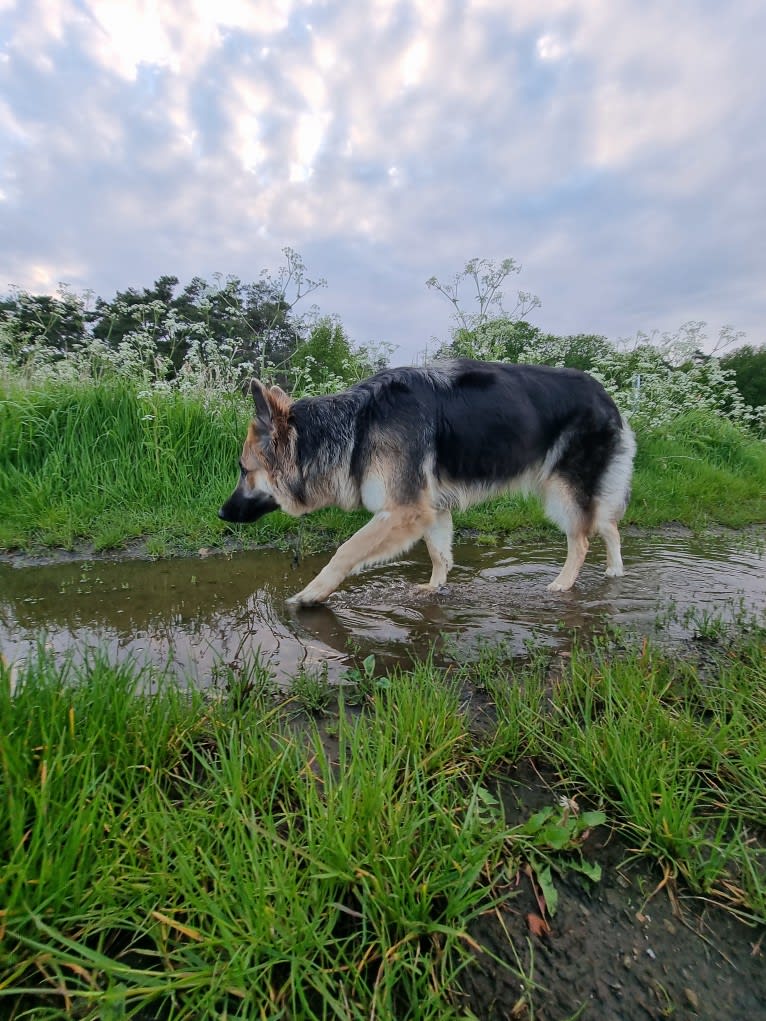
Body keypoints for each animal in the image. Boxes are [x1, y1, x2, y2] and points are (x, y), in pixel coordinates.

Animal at [217, 357, 637, 604]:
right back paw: (615, 571)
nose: (220, 514)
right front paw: (435, 588)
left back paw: (563, 584)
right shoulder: (432, 510)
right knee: (608, 524)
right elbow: (439, 553)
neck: (355, 427)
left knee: (582, 538)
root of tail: (605, 394)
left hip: (563, 491)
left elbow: (346, 551)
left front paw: (309, 594)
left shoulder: (404, 511)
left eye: (242, 469)